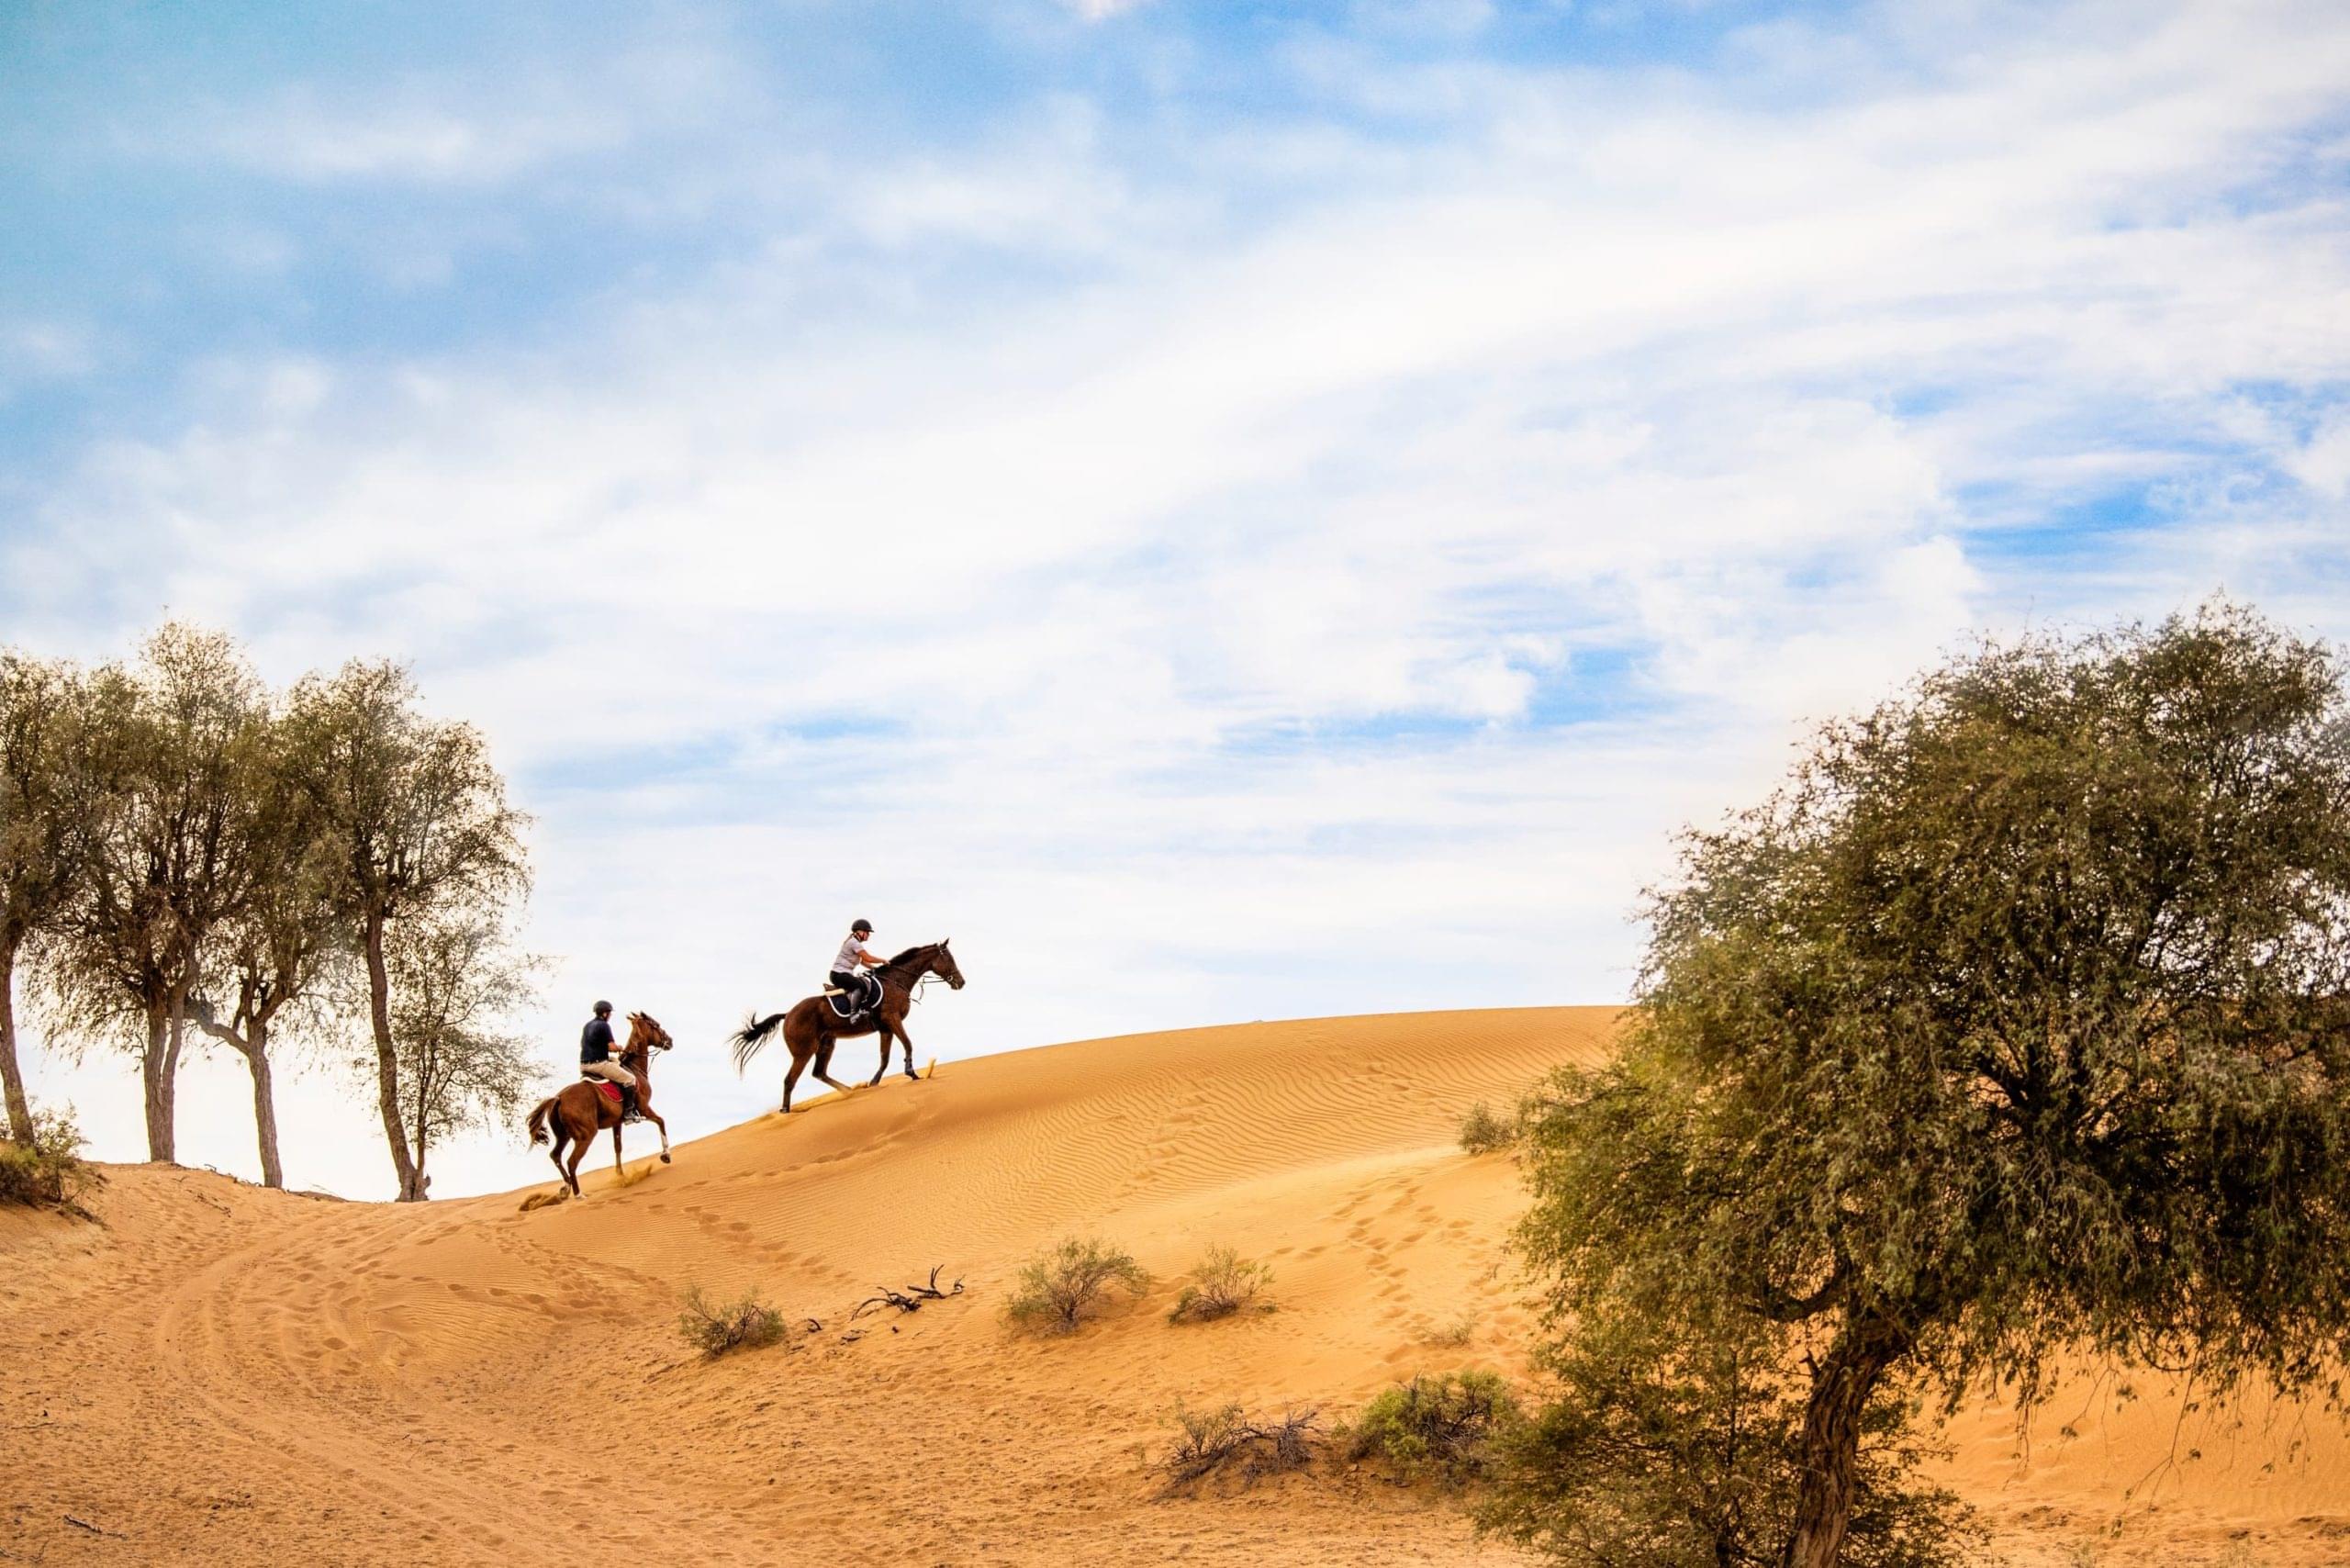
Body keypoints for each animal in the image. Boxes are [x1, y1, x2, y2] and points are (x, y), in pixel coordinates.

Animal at [529, 1011, 677, 1193]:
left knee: (555, 1156)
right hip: (586, 1135)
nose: (670, 1041)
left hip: (563, 1136)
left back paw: (566, 1188)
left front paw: (621, 1176)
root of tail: (559, 1098)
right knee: (572, 1161)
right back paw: (579, 1195)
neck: (634, 1068)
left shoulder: (617, 1122)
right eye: (656, 1025)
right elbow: (661, 1122)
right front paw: (666, 1155)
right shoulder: (644, 1108)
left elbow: (617, 1147)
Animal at [723, 940, 963, 1109]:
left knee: (818, 1073)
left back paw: (850, 1090)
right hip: (804, 1051)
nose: (961, 982)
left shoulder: (885, 1028)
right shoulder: (892, 1019)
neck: (895, 981)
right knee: (790, 1080)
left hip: (827, 1043)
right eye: (949, 959)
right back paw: (785, 1112)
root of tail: (788, 1014)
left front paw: (874, 1083)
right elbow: (908, 1044)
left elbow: (884, 1058)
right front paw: (912, 1073)